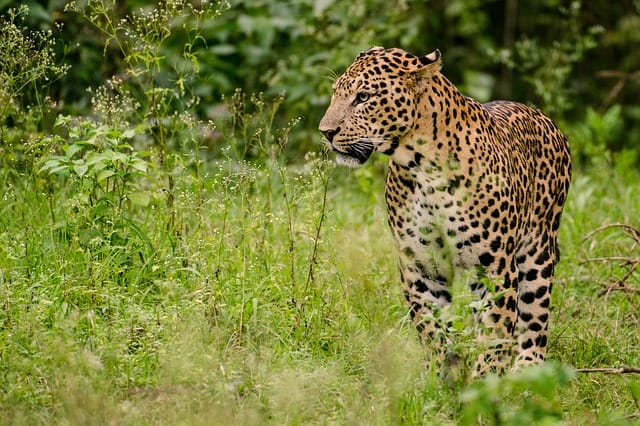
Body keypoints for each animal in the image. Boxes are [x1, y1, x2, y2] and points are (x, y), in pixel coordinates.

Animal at [319, 46, 571, 375]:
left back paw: (527, 370)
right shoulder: (421, 266)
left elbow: (494, 333)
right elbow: (432, 329)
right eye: (336, 93)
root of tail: (545, 118)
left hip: (537, 253)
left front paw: (483, 381)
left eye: (363, 97)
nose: (325, 132)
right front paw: (442, 376)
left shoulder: (495, 268)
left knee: (534, 320)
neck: (421, 167)